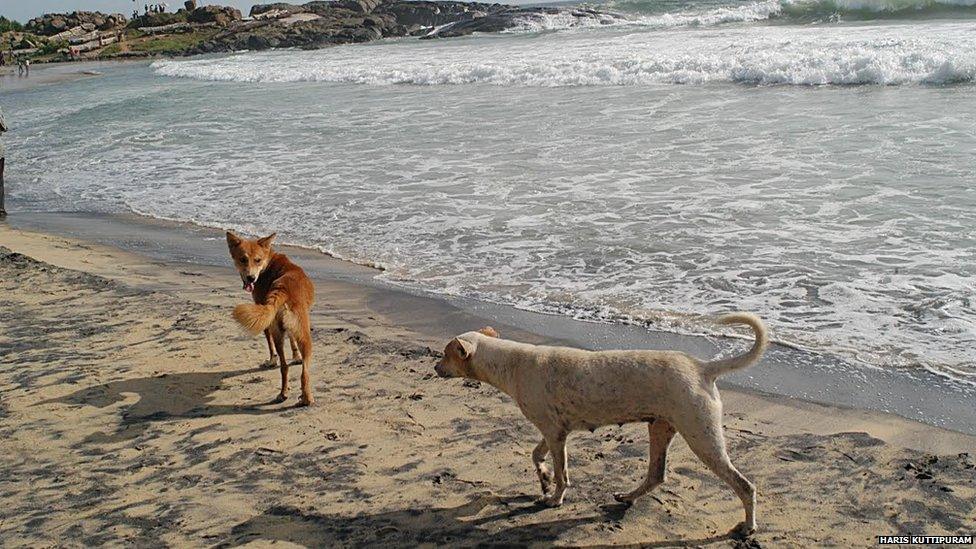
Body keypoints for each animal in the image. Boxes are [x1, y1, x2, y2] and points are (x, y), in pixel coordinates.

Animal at [226, 229, 314, 404]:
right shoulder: (289, 327)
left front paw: (272, 360)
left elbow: (269, 343)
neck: (269, 263)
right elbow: (292, 340)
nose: (251, 278)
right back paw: (298, 396)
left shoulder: (267, 322)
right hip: (300, 334)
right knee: (297, 369)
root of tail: (283, 288)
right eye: (243, 259)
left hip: (282, 330)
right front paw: (296, 357)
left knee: (287, 365)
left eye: (257, 260)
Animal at [436, 312, 772, 536]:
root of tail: (703, 368)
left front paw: (554, 498)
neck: (511, 362)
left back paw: (748, 527)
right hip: (661, 428)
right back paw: (627, 497)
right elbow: (536, 456)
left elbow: (562, 474)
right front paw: (543, 479)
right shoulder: (554, 430)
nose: (435, 367)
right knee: (656, 475)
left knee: (745, 485)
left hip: (702, 437)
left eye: (445, 354)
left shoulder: (556, 435)